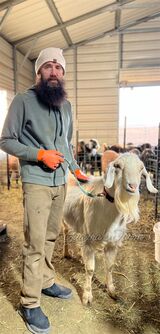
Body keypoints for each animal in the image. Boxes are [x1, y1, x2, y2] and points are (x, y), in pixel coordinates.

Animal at [62, 154, 158, 306]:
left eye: (141, 168)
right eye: (118, 166)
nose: (133, 186)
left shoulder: (113, 243)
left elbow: (110, 266)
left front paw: (112, 290)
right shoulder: (89, 241)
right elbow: (90, 270)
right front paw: (87, 296)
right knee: (65, 233)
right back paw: (65, 253)